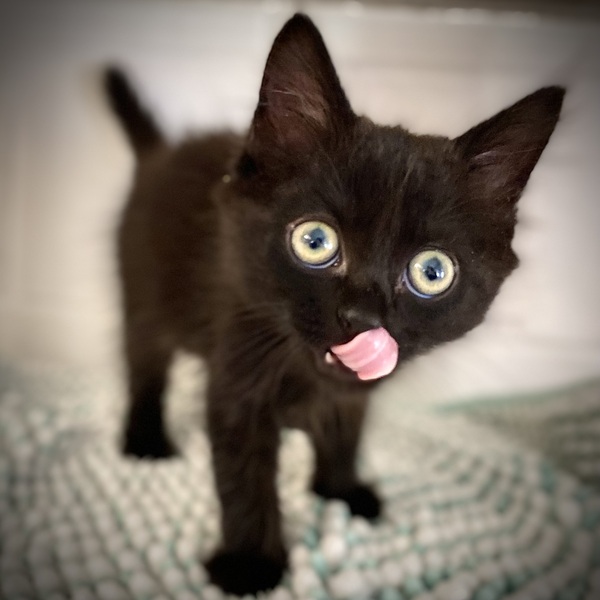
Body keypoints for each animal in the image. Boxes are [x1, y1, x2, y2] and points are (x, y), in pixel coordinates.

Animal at [104, 13, 564, 596]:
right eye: (315, 242)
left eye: (432, 272)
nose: (362, 319)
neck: (308, 378)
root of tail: (159, 154)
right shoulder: (239, 366)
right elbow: (243, 473)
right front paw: (251, 564)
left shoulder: (353, 393)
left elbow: (346, 429)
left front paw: (339, 489)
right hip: (141, 292)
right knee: (144, 363)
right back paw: (145, 439)